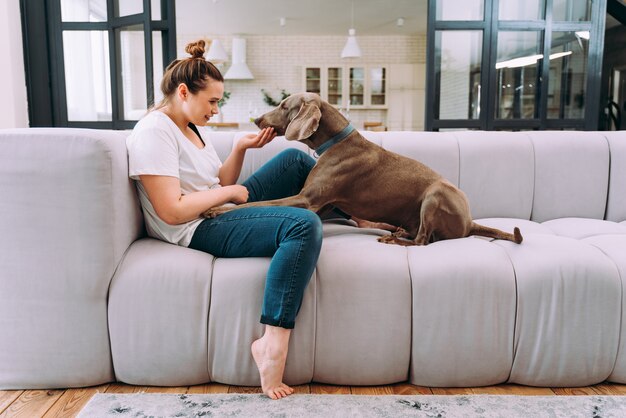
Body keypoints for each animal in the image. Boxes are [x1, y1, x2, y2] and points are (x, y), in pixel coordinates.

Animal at [202, 92, 520, 245]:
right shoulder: (323, 205)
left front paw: (217, 209)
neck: (335, 141)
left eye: (282, 105)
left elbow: (256, 203)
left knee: (422, 242)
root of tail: (470, 223)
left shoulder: (307, 200)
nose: (256, 120)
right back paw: (396, 232)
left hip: (437, 193)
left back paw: (395, 240)